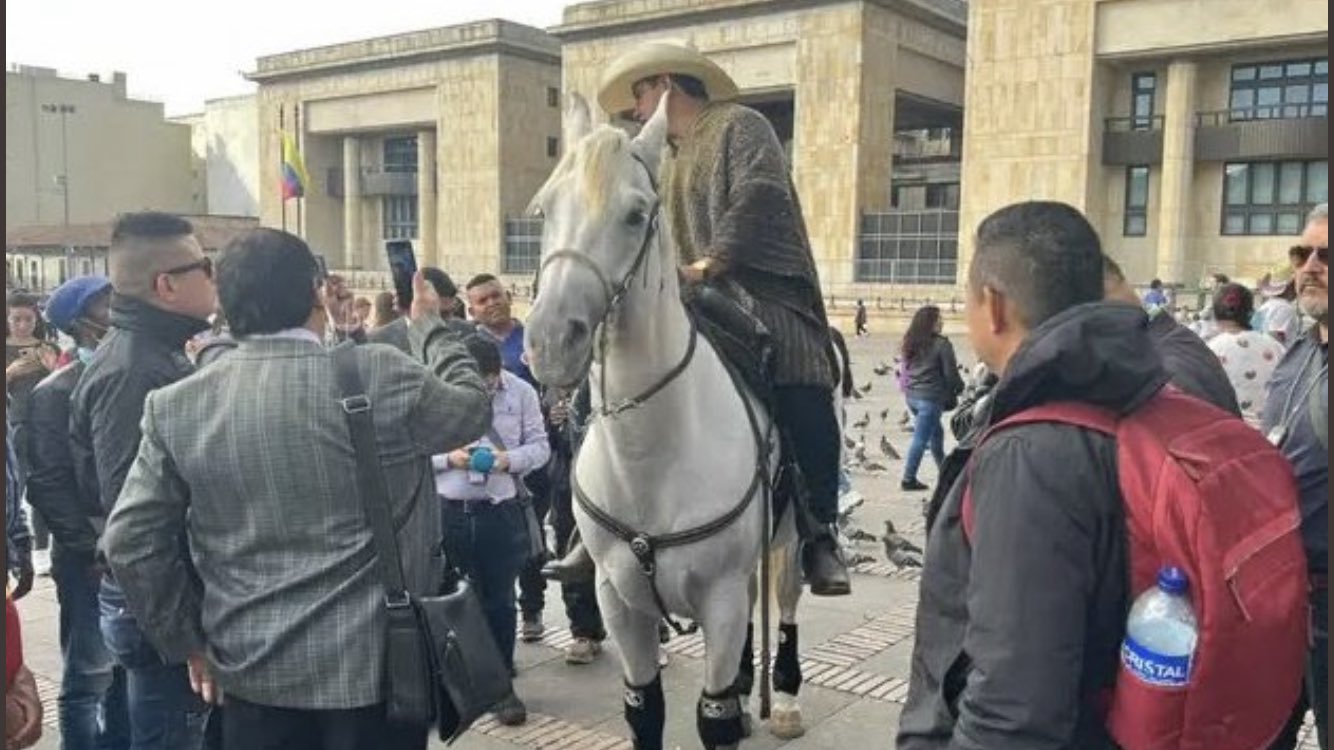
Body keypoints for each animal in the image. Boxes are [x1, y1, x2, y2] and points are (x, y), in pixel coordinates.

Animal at [525, 93, 805, 747]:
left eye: (635, 215)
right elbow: (643, 707)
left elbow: (714, 716)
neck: (651, 456)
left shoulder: (722, 603)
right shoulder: (621, 601)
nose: (551, 341)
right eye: (545, 209)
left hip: (791, 541)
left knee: (784, 596)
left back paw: (782, 698)